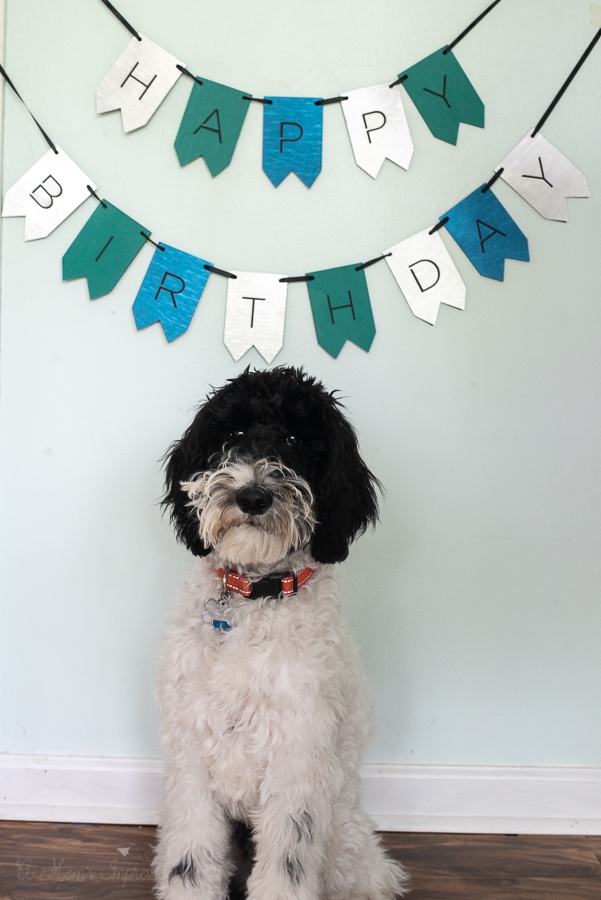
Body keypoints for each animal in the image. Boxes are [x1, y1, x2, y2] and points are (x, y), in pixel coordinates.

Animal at [155, 366, 408, 900]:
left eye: (294, 439)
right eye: (233, 433)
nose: (252, 496)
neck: (254, 596)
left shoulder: (298, 760)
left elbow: (286, 868)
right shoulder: (190, 752)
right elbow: (191, 859)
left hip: (345, 845)